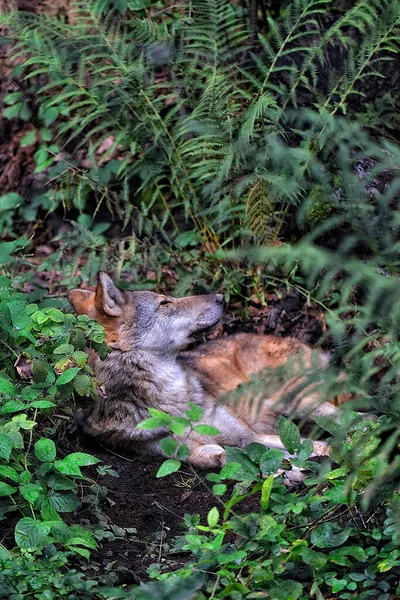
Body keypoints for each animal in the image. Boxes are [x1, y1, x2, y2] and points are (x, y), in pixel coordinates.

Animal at [69, 272, 340, 468]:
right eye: (164, 303)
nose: (221, 297)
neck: (173, 399)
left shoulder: (251, 436)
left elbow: (309, 447)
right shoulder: (210, 450)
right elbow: (261, 459)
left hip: (298, 401)